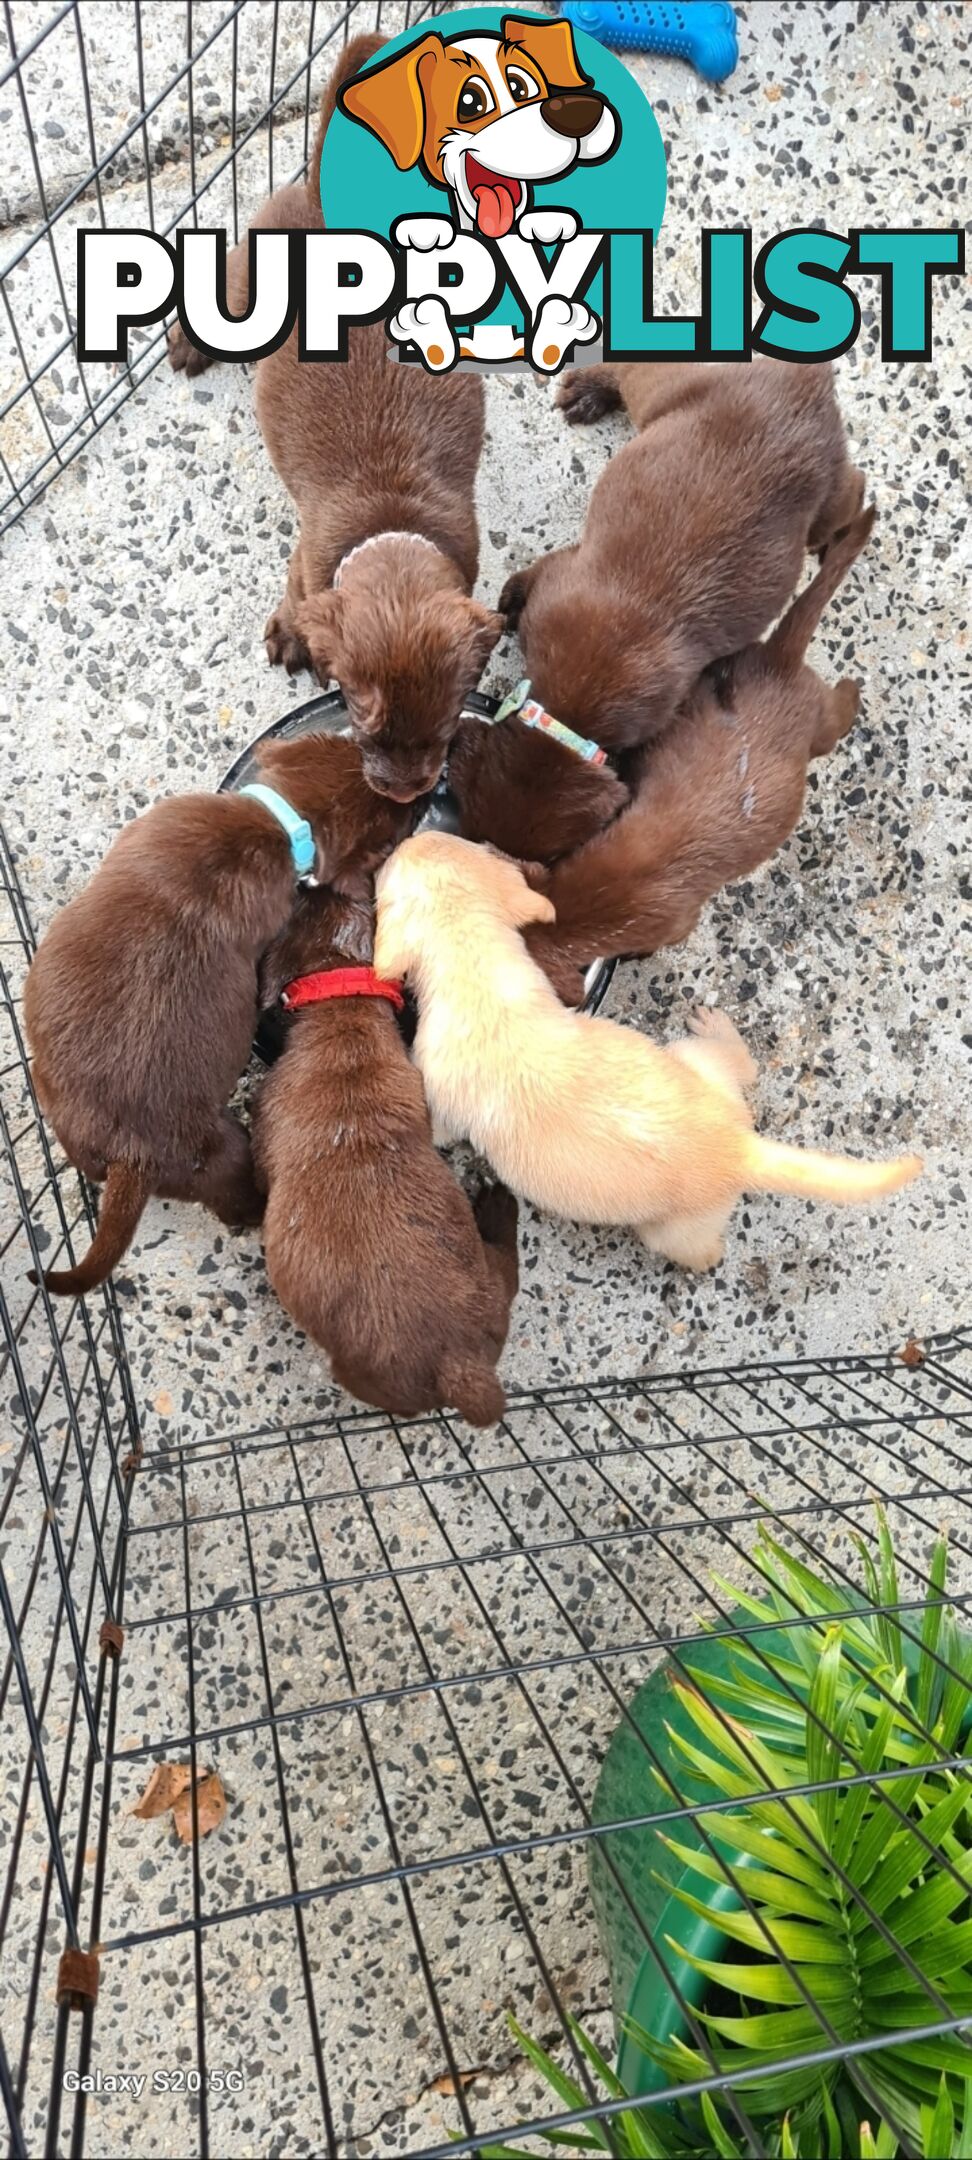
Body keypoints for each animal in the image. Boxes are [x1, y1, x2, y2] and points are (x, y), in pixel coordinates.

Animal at [373, 825, 924, 1261]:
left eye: (388, 871)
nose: (405, 837)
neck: (473, 955)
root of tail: (741, 1150)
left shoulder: (441, 1099)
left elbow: (437, 1128)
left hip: (674, 1229)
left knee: (697, 1251)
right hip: (690, 1060)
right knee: (738, 1066)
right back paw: (717, 1029)